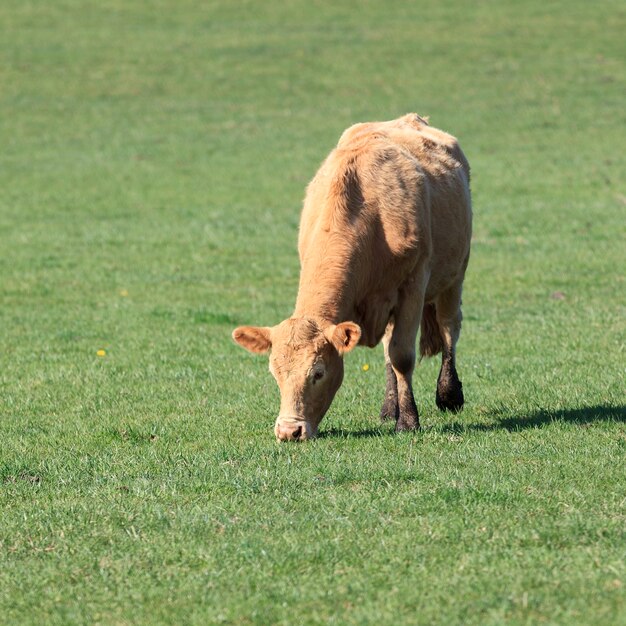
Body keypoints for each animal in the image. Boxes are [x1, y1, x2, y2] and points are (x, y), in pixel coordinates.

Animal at [232, 114, 470, 442]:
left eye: (318, 373)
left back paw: (449, 393)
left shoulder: (413, 285)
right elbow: (392, 352)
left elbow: (402, 355)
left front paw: (408, 421)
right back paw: (390, 406)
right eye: (275, 372)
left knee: (449, 327)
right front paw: (396, 412)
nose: (290, 430)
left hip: (455, 274)